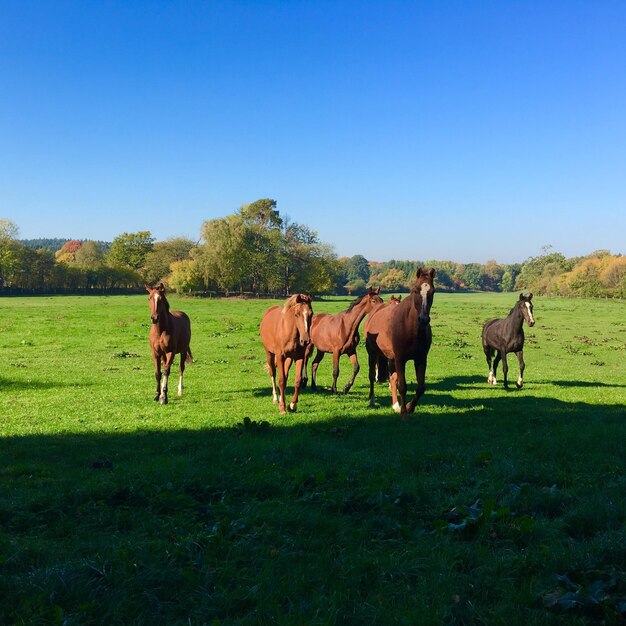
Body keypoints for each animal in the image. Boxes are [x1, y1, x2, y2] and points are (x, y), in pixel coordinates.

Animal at [366, 268, 434, 420]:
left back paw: (395, 405)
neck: (410, 328)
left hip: (391, 358)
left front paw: (409, 407)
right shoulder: (400, 359)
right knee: (372, 376)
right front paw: (404, 413)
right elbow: (402, 386)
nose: (423, 319)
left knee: (392, 380)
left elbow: (420, 387)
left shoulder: (421, 359)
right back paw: (372, 401)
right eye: (416, 290)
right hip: (372, 354)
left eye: (432, 291)